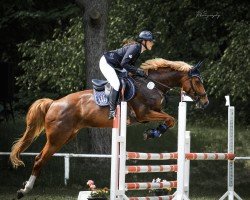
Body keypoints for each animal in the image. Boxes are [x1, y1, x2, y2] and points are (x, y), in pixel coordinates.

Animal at [9, 57, 209, 198]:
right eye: (198, 81)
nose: (206, 102)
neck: (151, 85)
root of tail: (54, 103)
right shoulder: (143, 114)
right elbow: (171, 119)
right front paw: (153, 133)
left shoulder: (151, 114)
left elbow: (169, 119)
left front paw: (153, 132)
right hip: (57, 137)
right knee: (39, 159)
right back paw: (23, 191)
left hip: (67, 135)